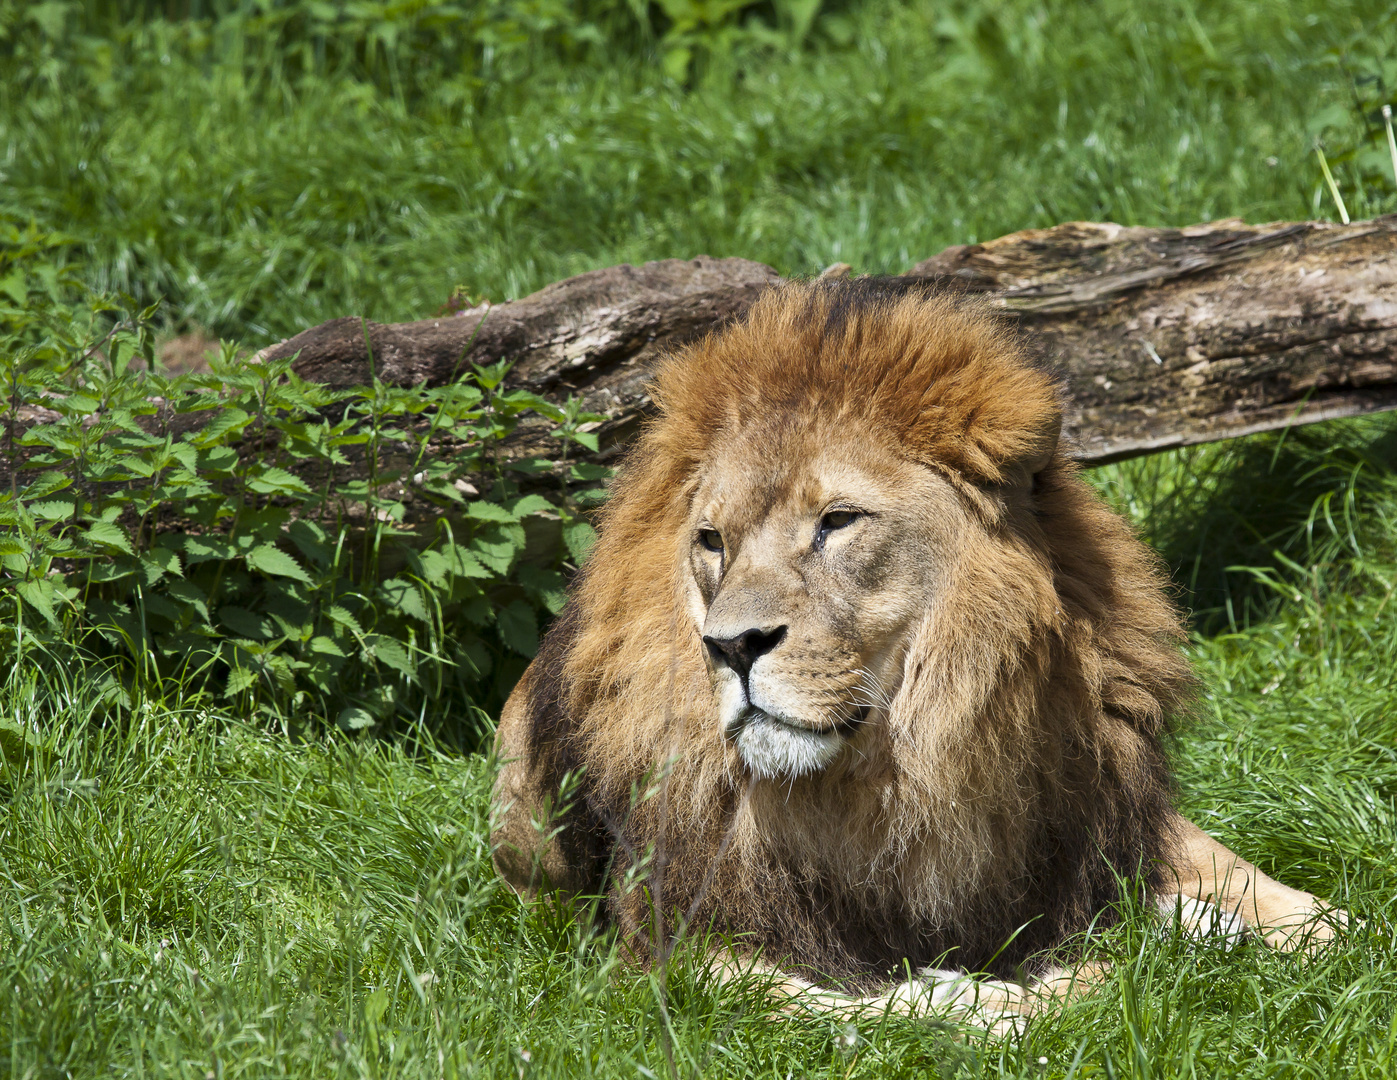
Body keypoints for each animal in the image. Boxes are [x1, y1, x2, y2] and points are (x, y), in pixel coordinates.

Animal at [491, 273, 1341, 1022]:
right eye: (711, 540)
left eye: (836, 521)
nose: (729, 647)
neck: (904, 770)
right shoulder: (673, 947)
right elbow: (879, 1006)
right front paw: (996, 991)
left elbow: (1318, 921)